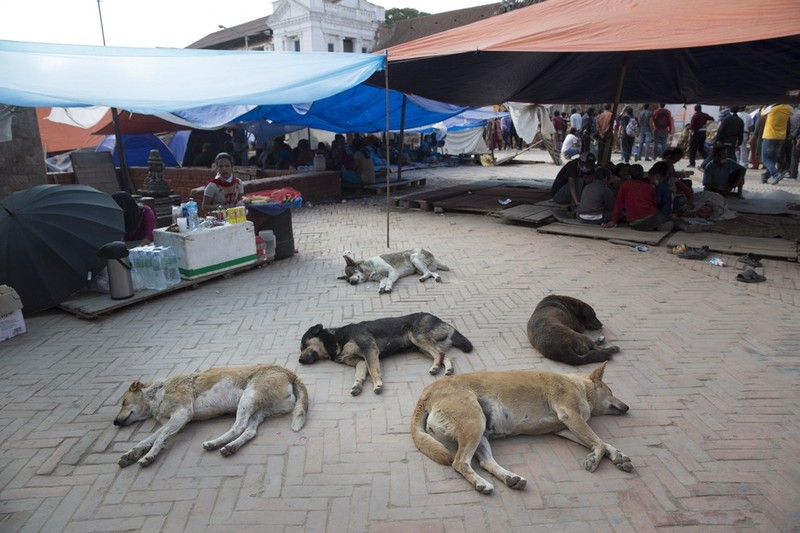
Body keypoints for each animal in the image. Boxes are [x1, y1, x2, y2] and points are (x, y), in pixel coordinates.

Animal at [114, 366, 308, 466]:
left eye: (123, 402)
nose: (115, 422)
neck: (158, 391)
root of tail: (288, 372)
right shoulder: (170, 422)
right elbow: (147, 439)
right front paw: (132, 453)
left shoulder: (182, 414)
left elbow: (158, 439)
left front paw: (150, 455)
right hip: (259, 411)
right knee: (249, 432)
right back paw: (228, 447)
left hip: (247, 398)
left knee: (239, 427)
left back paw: (216, 443)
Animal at [304, 312, 472, 394]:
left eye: (303, 344)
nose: (300, 360)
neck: (336, 339)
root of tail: (443, 322)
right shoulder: (360, 360)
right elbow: (360, 374)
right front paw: (357, 385)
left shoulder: (370, 349)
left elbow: (373, 370)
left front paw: (378, 384)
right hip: (420, 347)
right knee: (444, 354)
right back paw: (447, 368)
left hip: (416, 337)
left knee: (439, 354)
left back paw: (436, 367)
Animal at [412, 362, 632, 494]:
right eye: (611, 391)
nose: (628, 407)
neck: (578, 386)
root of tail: (426, 393)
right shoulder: (571, 415)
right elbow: (599, 442)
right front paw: (595, 459)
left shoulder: (565, 428)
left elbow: (602, 442)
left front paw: (618, 456)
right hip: (474, 423)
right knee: (460, 463)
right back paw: (481, 483)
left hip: (480, 430)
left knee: (486, 463)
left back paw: (511, 478)